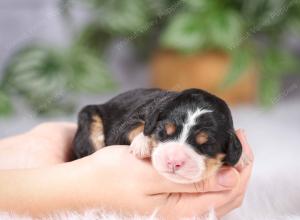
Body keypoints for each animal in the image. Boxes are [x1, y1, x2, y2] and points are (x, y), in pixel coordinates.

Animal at [74, 88, 243, 183]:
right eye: (163, 131)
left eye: (206, 145)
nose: (174, 161)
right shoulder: (124, 126)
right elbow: (139, 126)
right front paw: (143, 143)